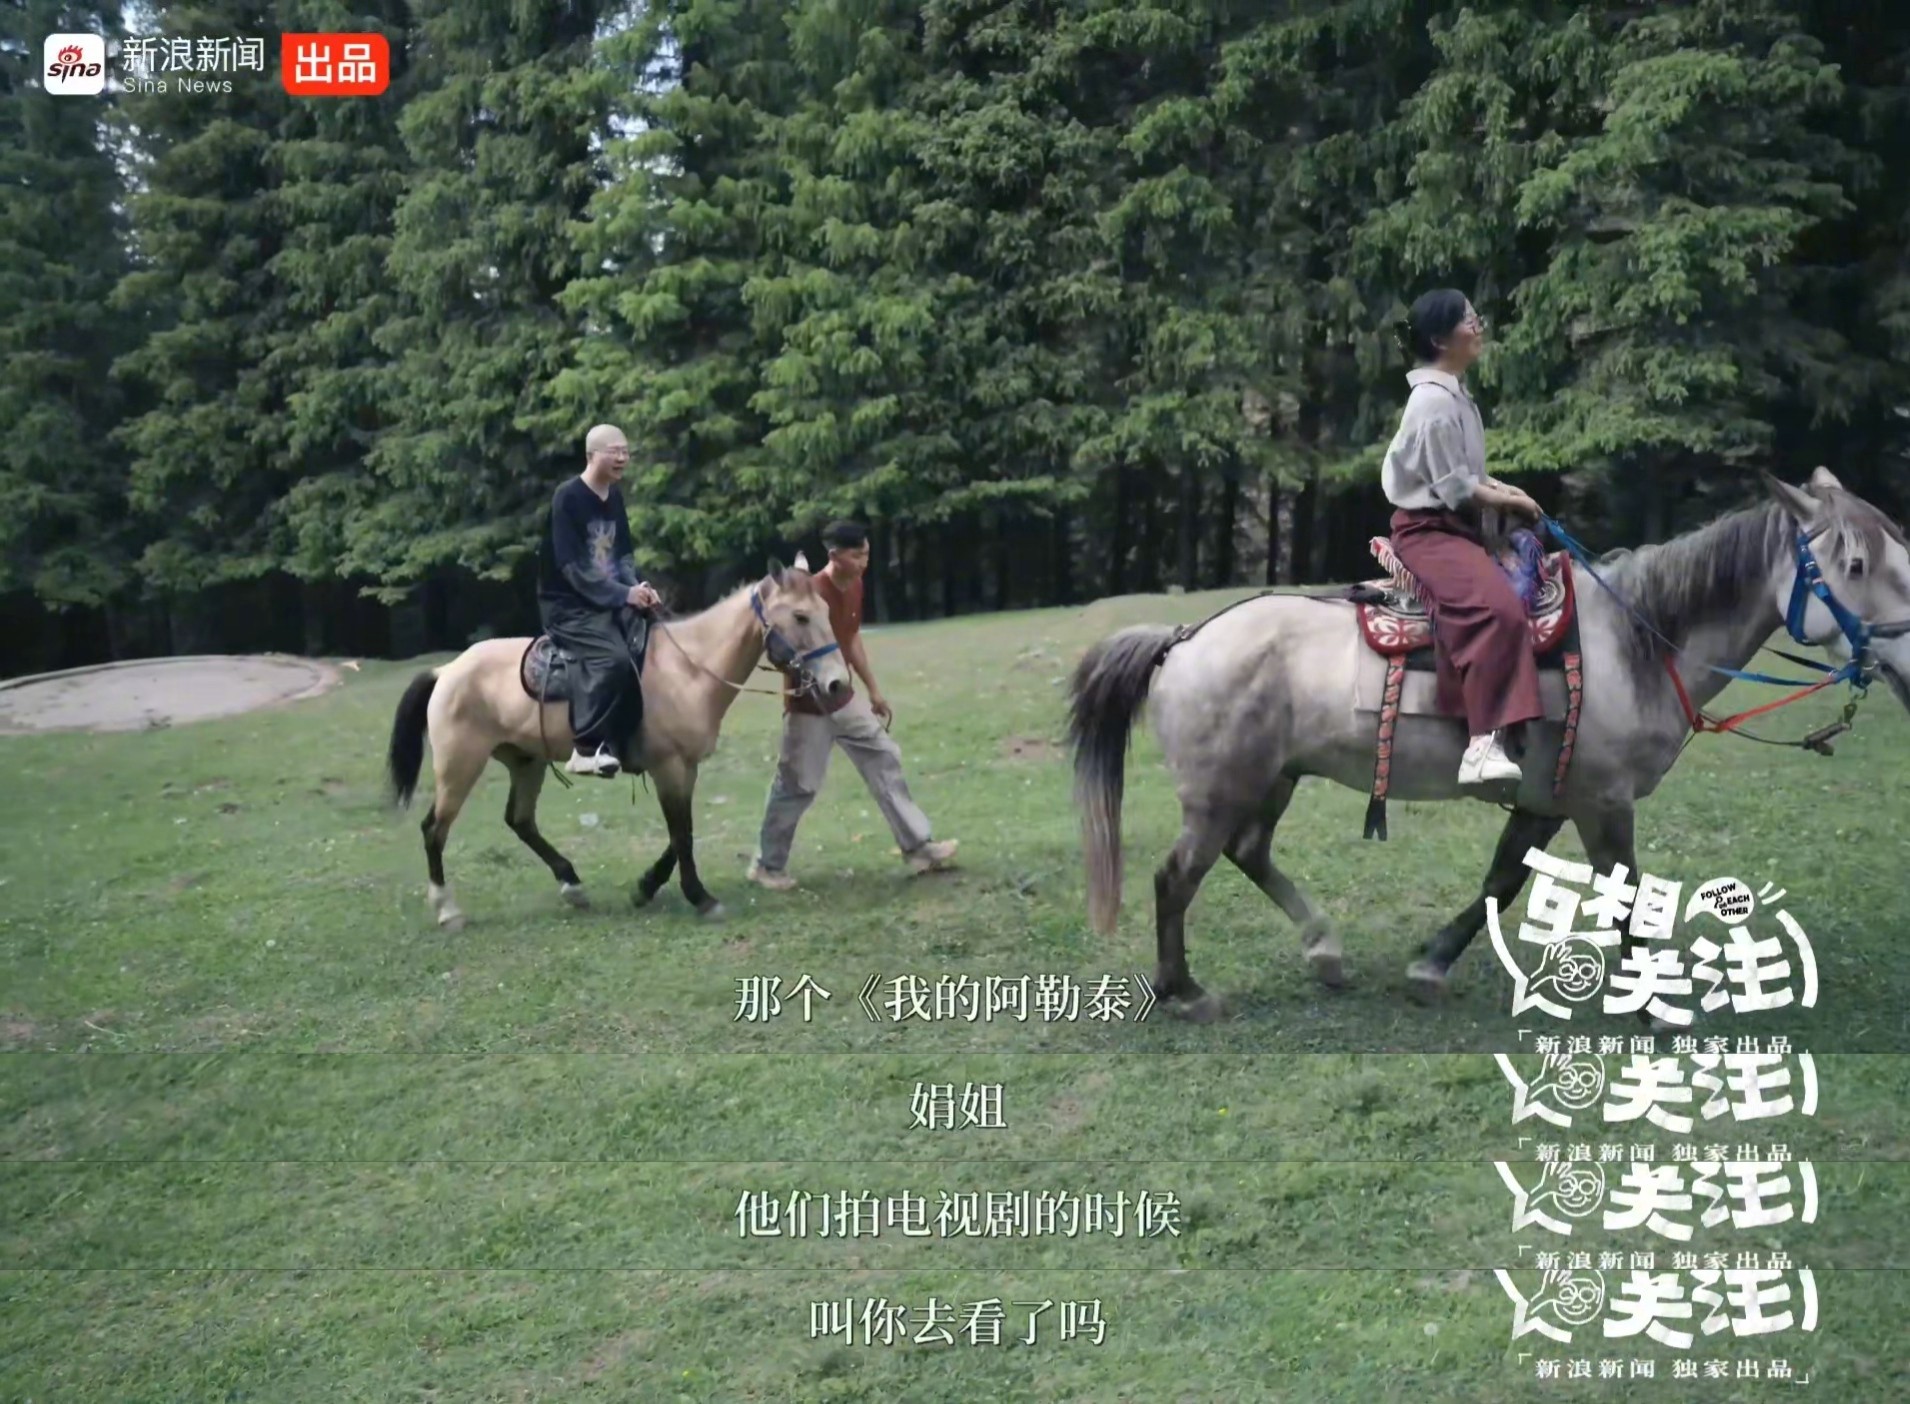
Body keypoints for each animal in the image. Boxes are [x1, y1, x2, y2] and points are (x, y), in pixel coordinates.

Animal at [384, 560, 852, 929]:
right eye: (801, 616)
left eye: (826, 611)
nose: (838, 684)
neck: (688, 669)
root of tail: (447, 671)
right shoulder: (668, 766)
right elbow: (682, 833)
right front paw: (700, 898)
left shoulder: (686, 767)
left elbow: (681, 833)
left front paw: (646, 887)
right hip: (459, 766)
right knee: (434, 829)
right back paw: (447, 910)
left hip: (525, 762)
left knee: (520, 821)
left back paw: (572, 885)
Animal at [1066, 469, 1910, 1017]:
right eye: (1855, 564)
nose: (1905, 657)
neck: (1635, 644)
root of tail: (1184, 638)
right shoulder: (1603, 803)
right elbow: (1624, 898)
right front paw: (1648, 1005)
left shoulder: (1550, 797)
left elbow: (1501, 883)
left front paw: (1430, 965)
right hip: (1219, 793)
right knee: (1176, 877)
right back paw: (1184, 991)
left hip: (1273, 779)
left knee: (1247, 853)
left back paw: (1324, 950)